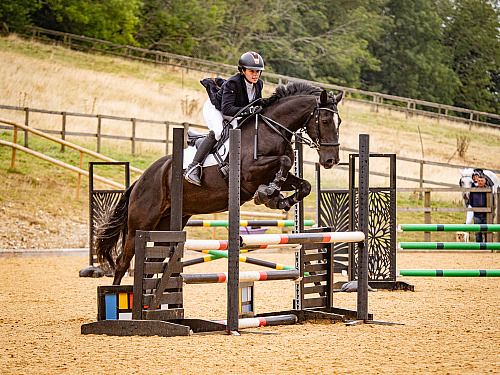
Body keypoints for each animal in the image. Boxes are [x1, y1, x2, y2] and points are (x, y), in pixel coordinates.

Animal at [95, 81, 342, 284]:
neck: (270, 129)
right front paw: (268, 194)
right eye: (325, 120)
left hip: (168, 223)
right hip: (141, 222)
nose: (331, 161)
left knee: (152, 264)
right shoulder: (249, 174)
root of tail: (142, 179)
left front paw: (279, 200)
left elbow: (303, 184)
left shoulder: (280, 175)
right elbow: (284, 160)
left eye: (339, 122)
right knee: (123, 262)